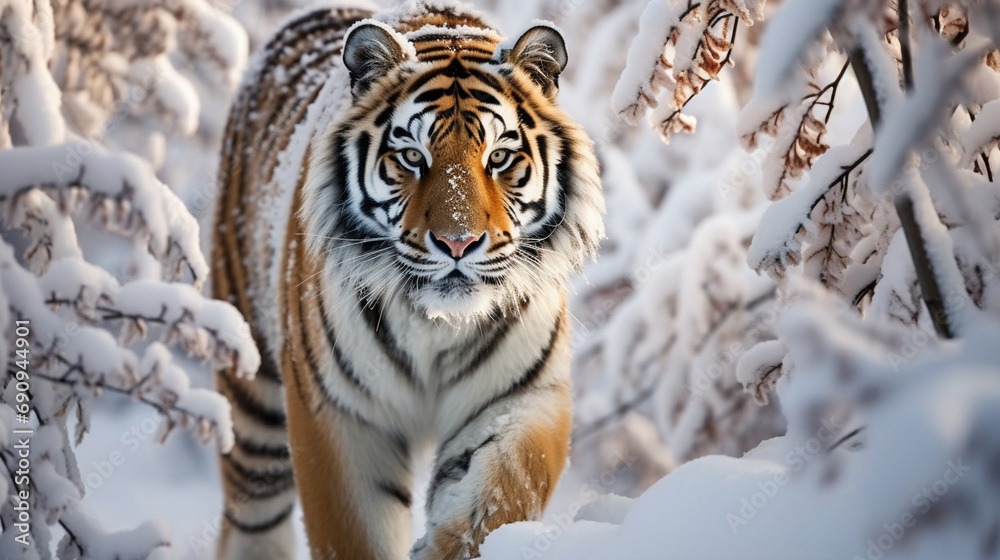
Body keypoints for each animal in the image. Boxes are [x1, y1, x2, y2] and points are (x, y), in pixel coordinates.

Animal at [210, 1, 604, 559]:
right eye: (413, 157)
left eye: (499, 157)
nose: (458, 244)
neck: (437, 323)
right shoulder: (338, 414)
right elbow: (354, 535)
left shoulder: (522, 396)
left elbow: (502, 495)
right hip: (252, 395)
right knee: (252, 518)